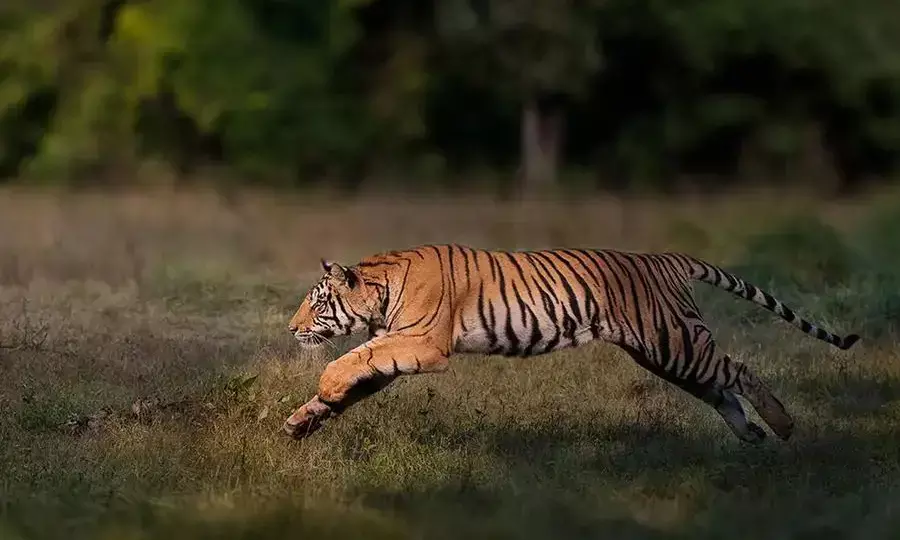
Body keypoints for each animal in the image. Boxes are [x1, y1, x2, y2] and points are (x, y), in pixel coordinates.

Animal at [283, 244, 860, 444]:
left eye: (317, 303)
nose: (290, 328)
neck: (380, 290)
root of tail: (667, 258)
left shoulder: (422, 344)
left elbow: (351, 360)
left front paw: (324, 387)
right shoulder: (397, 346)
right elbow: (357, 375)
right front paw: (305, 419)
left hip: (676, 343)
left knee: (740, 370)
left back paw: (782, 426)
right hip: (667, 356)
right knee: (720, 389)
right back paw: (750, 435)